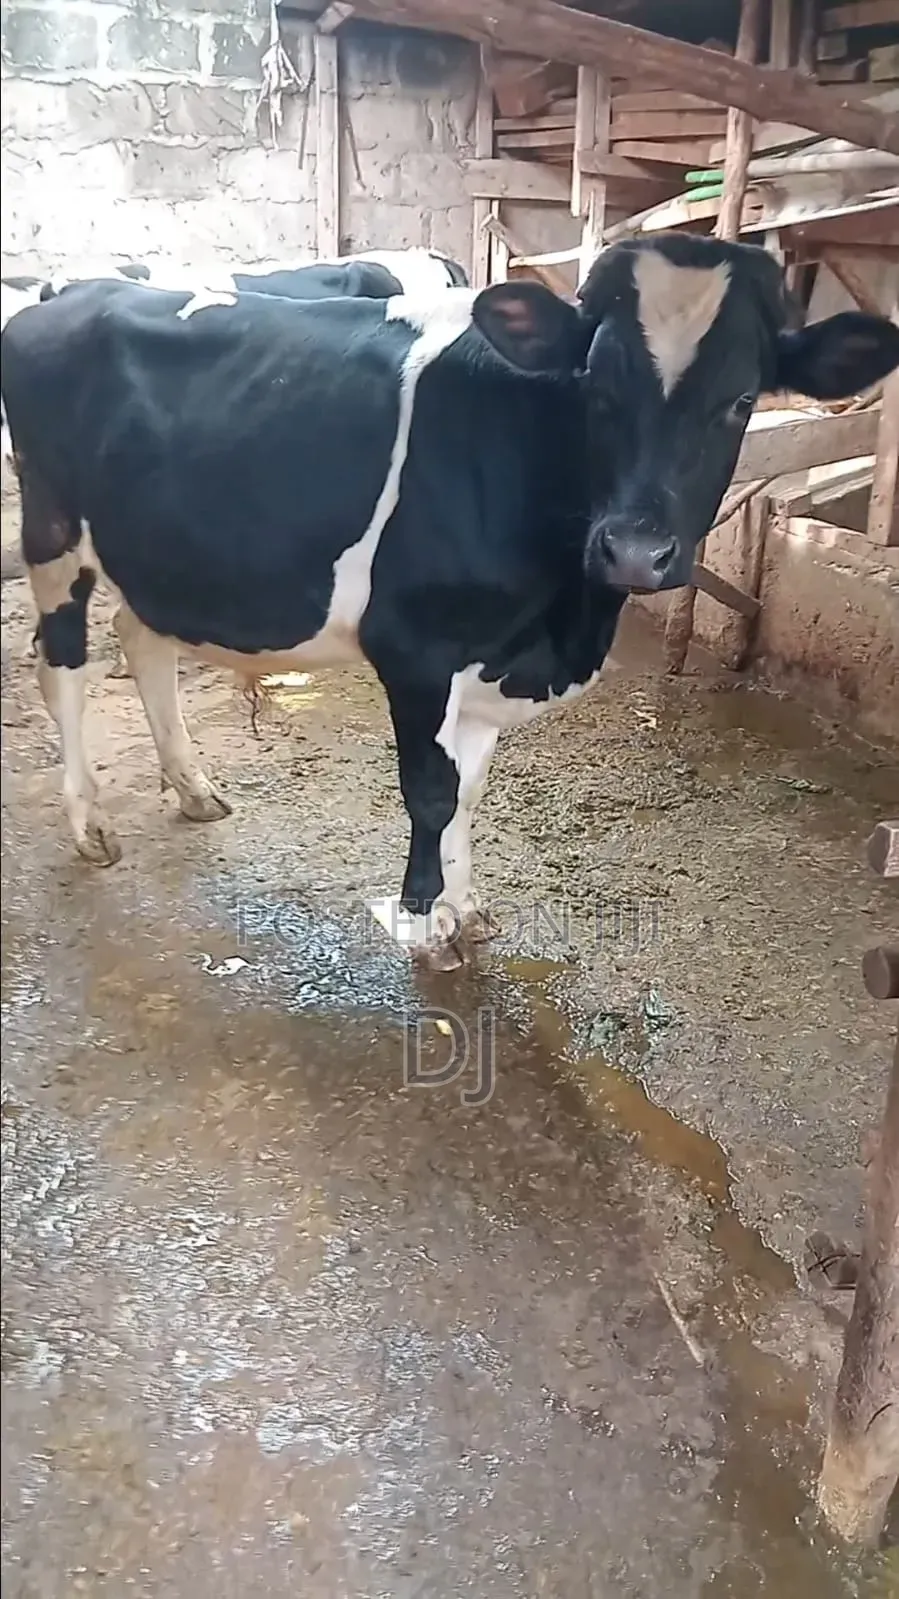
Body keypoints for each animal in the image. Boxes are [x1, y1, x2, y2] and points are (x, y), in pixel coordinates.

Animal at [3, 233, 897, 967]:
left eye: (742, 400)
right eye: (595, 385)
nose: (635, 551)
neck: (557, 623)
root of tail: (65, 293)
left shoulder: (486, 654)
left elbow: (467, 788)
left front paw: (464, 910)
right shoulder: (416, 646)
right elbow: (430, 790)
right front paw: (420, 920)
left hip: (155, 545)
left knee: (141, 636)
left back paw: (193, 789)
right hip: (52, 529)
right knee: (63, 666)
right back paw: (88, 823)